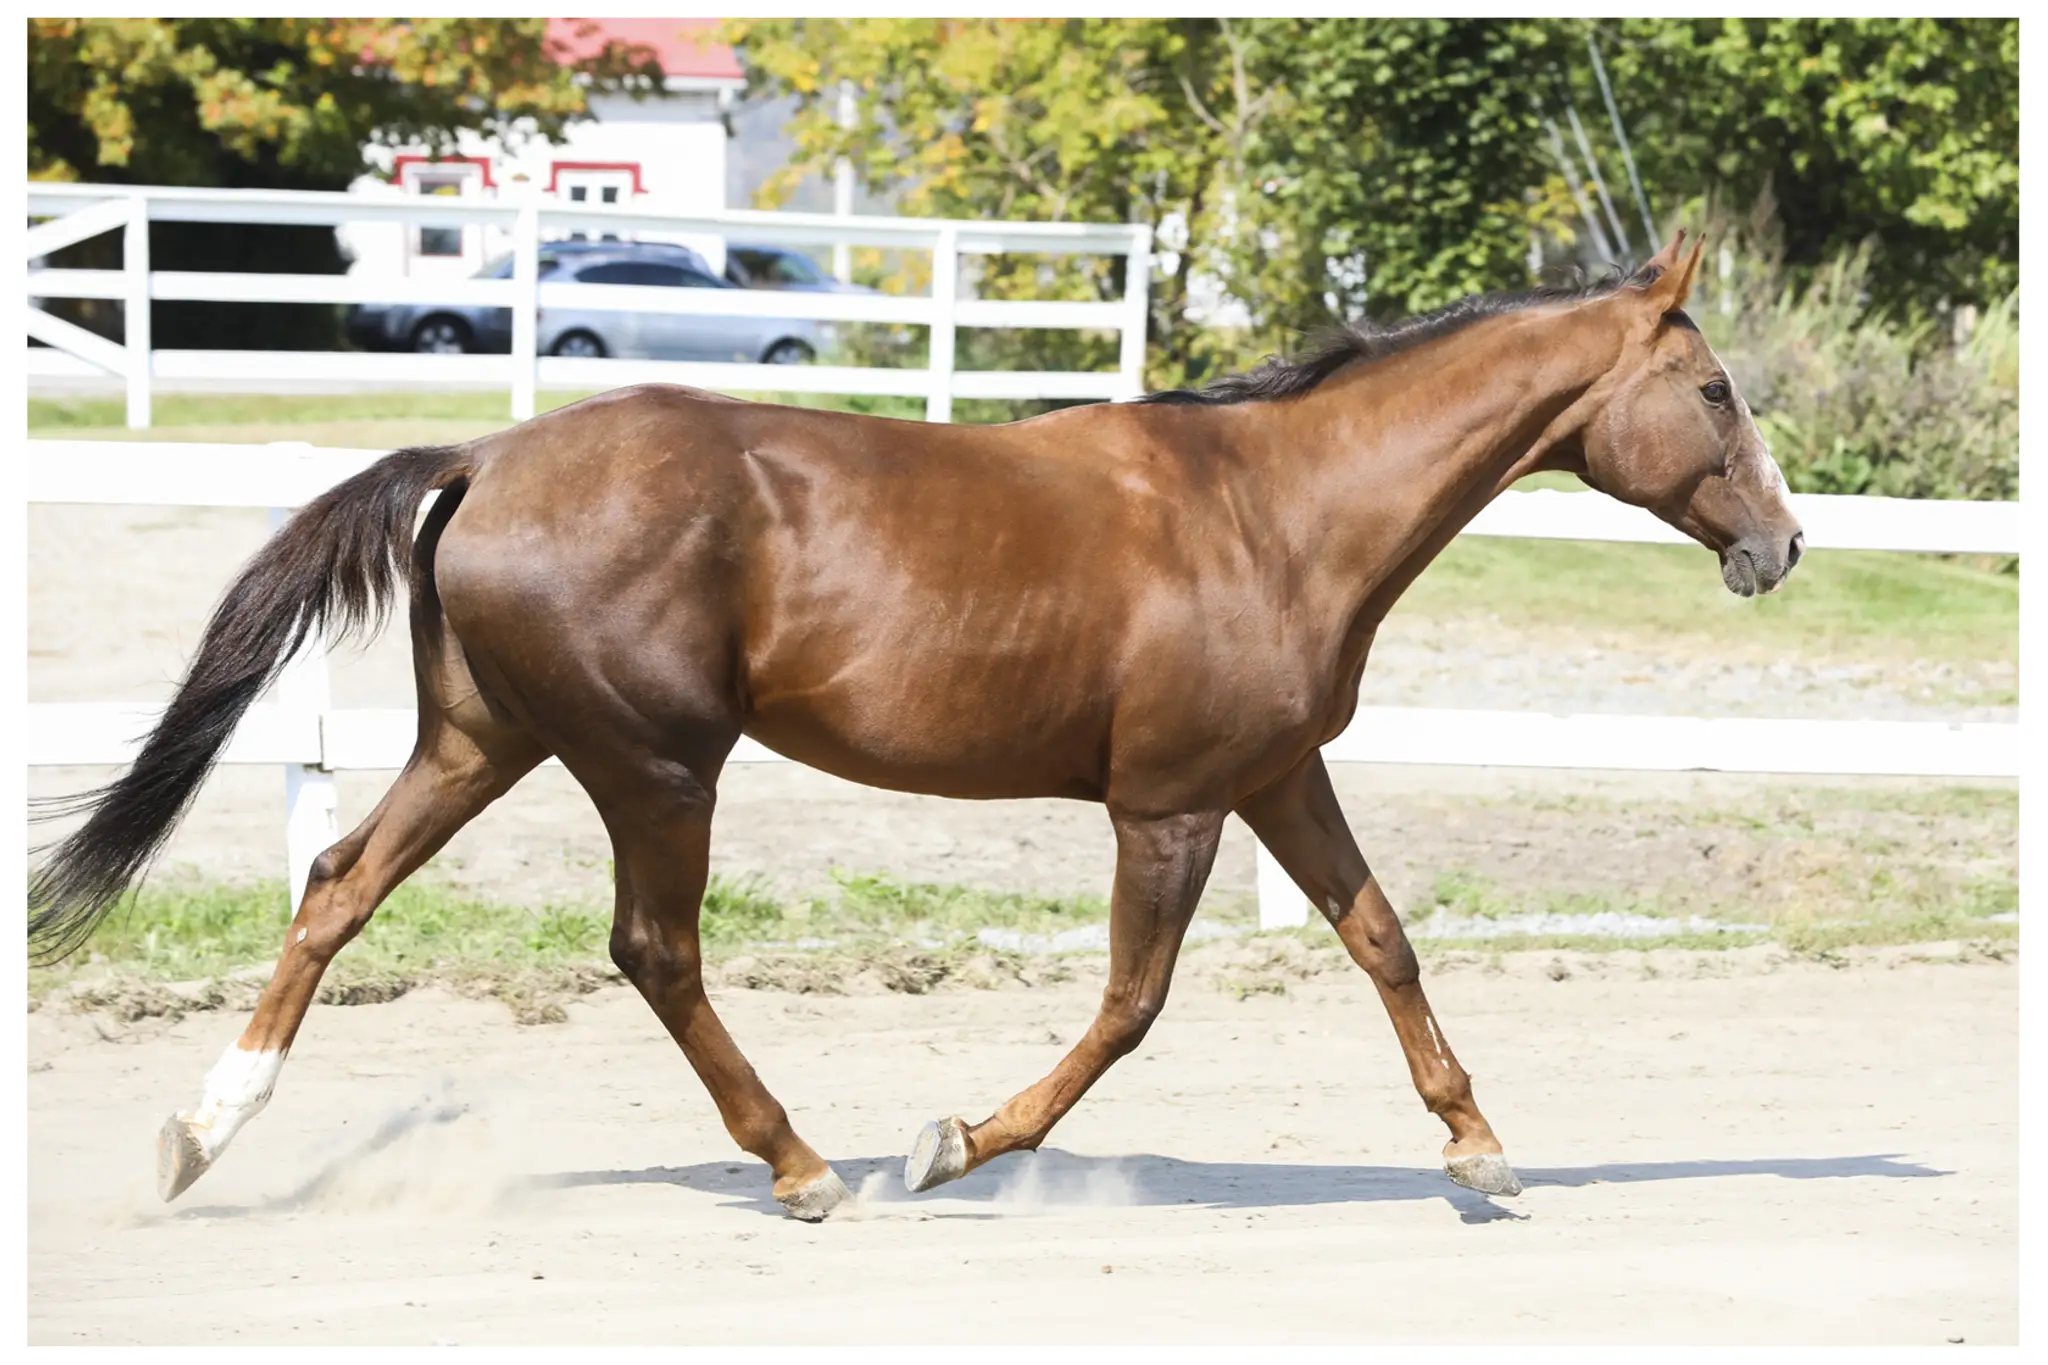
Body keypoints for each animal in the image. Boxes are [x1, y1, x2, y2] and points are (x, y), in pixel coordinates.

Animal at [28, 230, 1803, 1220]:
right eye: (1716, 392)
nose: (1782, 547)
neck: (1272, 510)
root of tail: (482, 456)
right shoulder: (1168, 803)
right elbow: (1133, 1006)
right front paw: (952, 1145)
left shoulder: (1275, 773)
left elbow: (1383, 939)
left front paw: (1482, 1149)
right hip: (655, 765)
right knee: (654, 951)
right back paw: (804, 1166)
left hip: (485, 745)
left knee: (336, 888)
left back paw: (201, 1135)